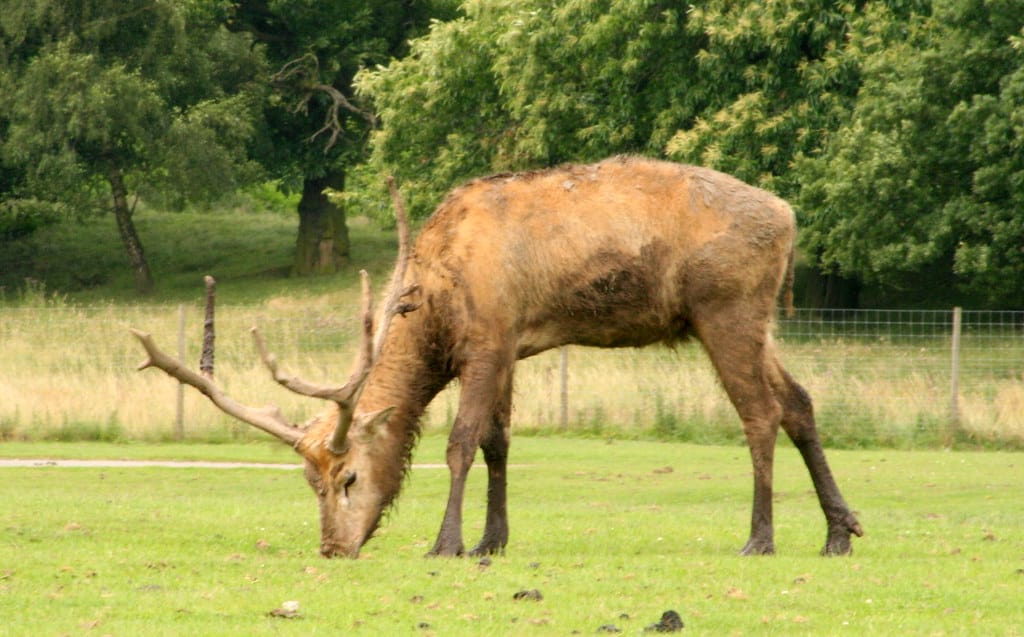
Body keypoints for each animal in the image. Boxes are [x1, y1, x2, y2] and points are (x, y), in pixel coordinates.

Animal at [132, 156, 863, 559]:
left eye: (349, 478)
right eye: (310, 483)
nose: (333, 547)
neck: (434, 306)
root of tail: (790, 217)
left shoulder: (487, 336)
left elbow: (460, 440)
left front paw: (446, 541)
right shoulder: (512, 344)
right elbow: (498, 442)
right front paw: (492, 539)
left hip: (725, 308)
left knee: (760, 413)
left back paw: (760, 538)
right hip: (758, 320)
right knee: (800, 402)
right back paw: (839, 530)